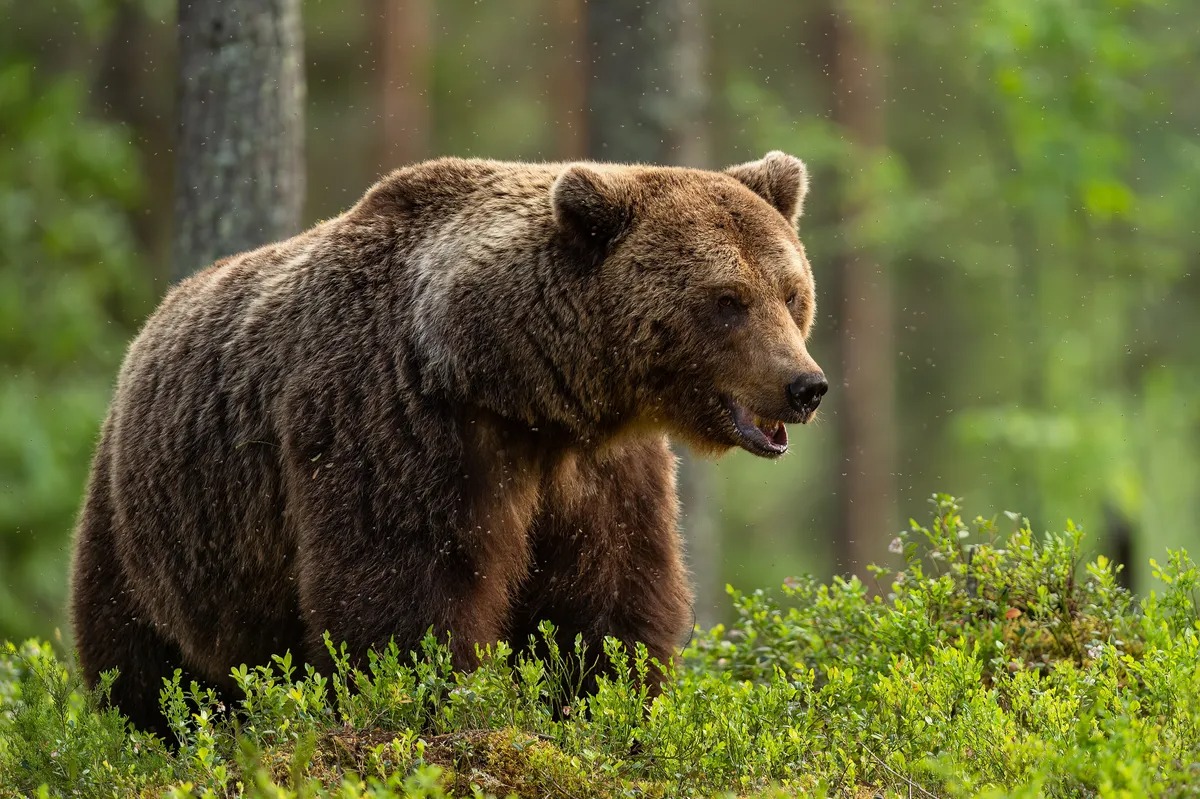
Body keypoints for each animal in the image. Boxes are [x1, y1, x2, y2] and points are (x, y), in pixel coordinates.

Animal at [70, 151, 830, 734]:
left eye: (791, 292)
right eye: (727, 300)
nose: (805, 385)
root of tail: (147, 328)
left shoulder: (598, 470)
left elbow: (609, 595)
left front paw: (602, 702)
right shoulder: (400, 422)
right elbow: (405, 589)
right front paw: (441, 703)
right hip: (153, 524)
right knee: (138, 658)